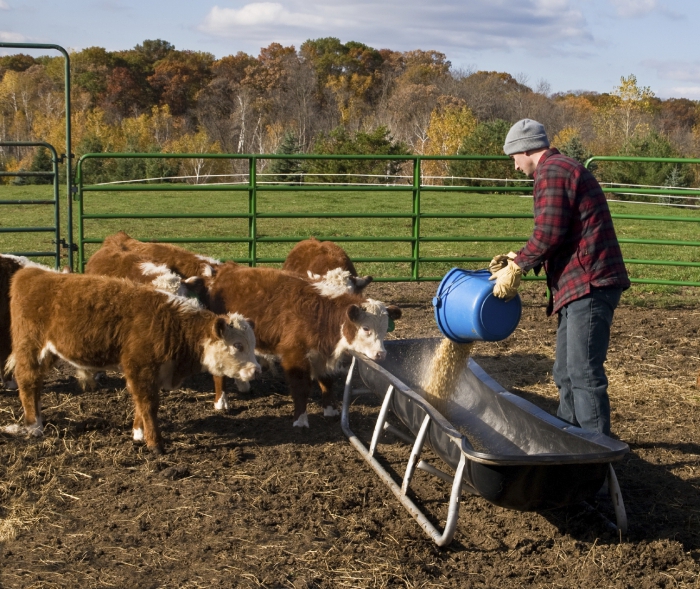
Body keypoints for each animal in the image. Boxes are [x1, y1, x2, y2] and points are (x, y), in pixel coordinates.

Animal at [4, 268, 262, 452]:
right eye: (238, 345)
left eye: (253, 344)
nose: (256, 371)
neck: (171, 324)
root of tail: (34, 273)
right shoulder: (140, 367)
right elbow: (148, 404)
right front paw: (155, 443)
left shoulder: (150, 372)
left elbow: (141, 402)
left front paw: (138, 433)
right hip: (31, 348)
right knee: (27, 381)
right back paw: (34, 426)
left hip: (50, 353)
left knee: (36, 384)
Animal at [202, 266, 400, 428]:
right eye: (366, 328)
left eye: (385, 329)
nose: (380, 354)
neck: (321, 314)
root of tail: (226, 270)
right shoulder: (295, 356)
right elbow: (301, 388)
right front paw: (300, 420)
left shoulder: (323, 355)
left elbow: (327, 381)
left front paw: (330, 410)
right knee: (218, 373)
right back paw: (221, 402)